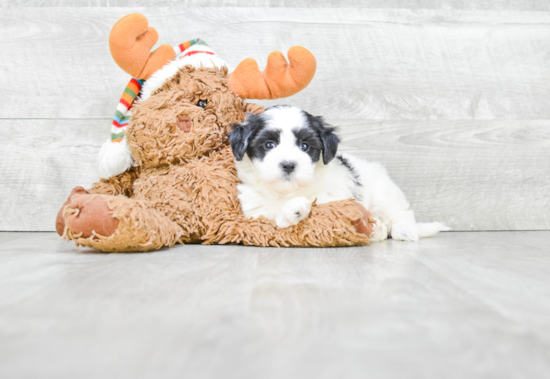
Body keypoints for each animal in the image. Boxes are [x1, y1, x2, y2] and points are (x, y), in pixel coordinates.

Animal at [231, 105, 450, 242]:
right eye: (269, 145)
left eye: (305, 146)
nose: (288, 165)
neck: (289, 191)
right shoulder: (255, 209)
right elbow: (272, 215)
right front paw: (292, 211)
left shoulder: (338, 193)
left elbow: (322, 202)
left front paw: (298, 206)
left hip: (384, 192)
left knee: (400, 213)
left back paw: (403, 230)